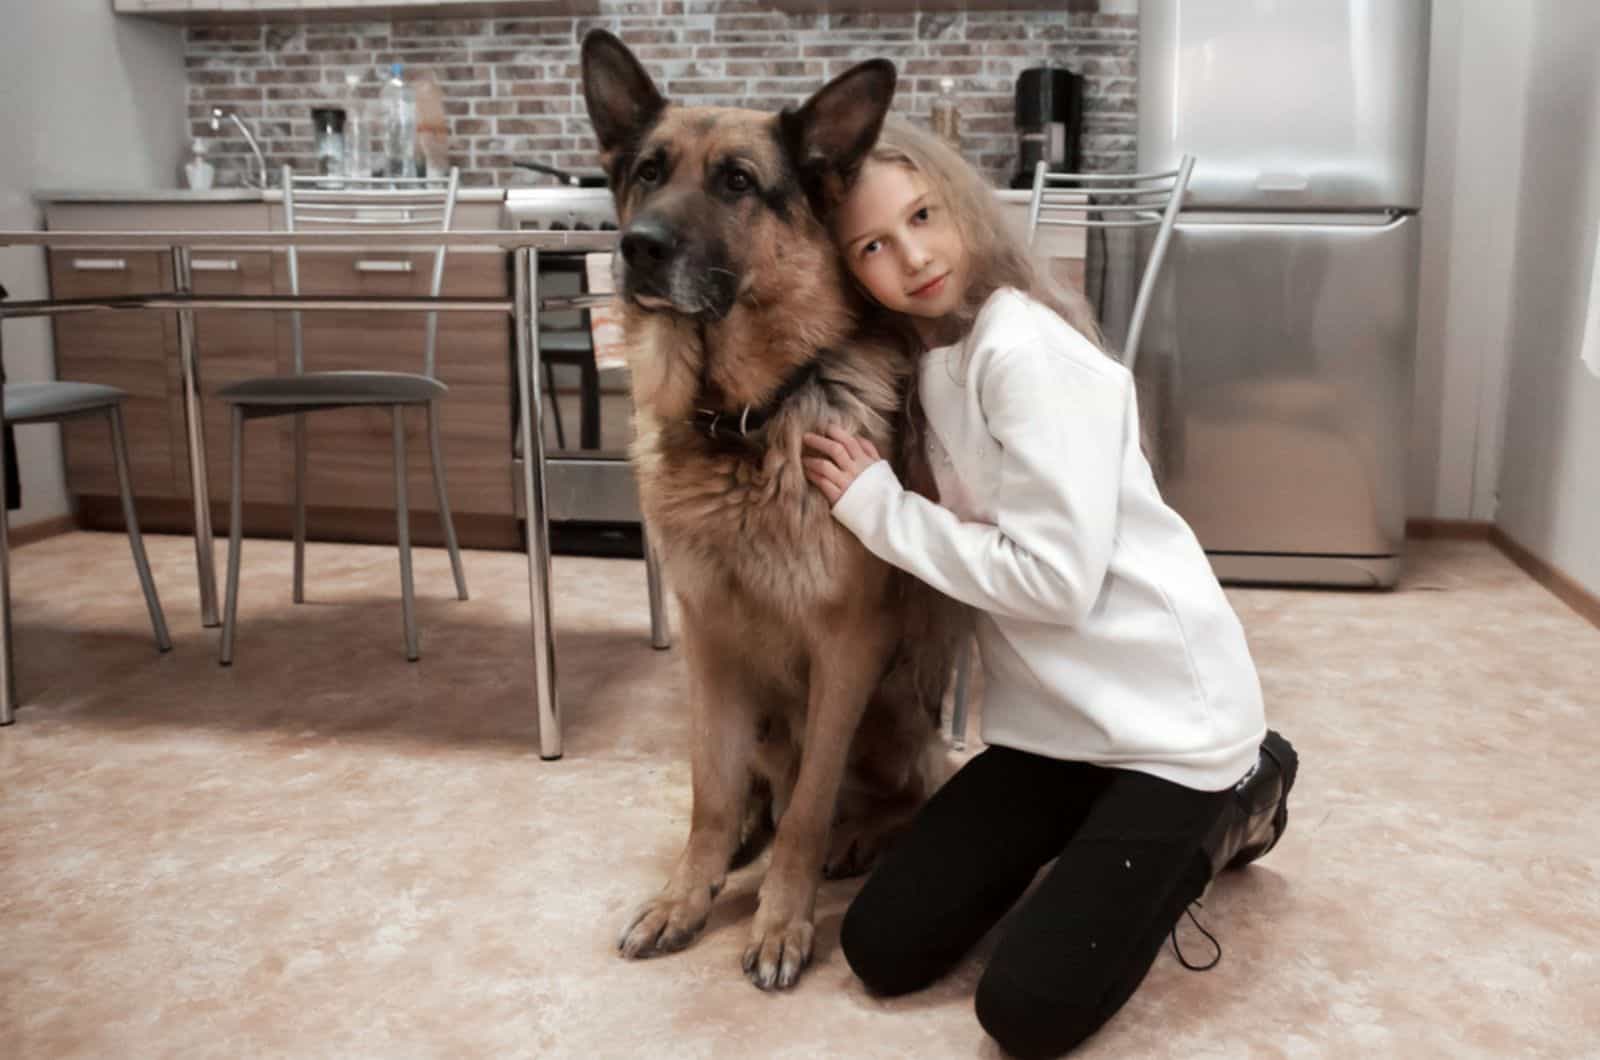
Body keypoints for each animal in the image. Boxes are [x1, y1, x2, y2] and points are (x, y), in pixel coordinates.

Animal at [585, 33, 966, 999]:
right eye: (648, 171)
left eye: (737, 182)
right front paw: (687, 895)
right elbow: (710, 793)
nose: (635, 248)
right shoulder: (710, 642)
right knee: (757, 790)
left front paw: (781, 922)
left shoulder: (846, 649)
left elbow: (810, 806)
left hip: (893, 707)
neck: (743, 424)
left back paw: (859, 837)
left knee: (909, 790)